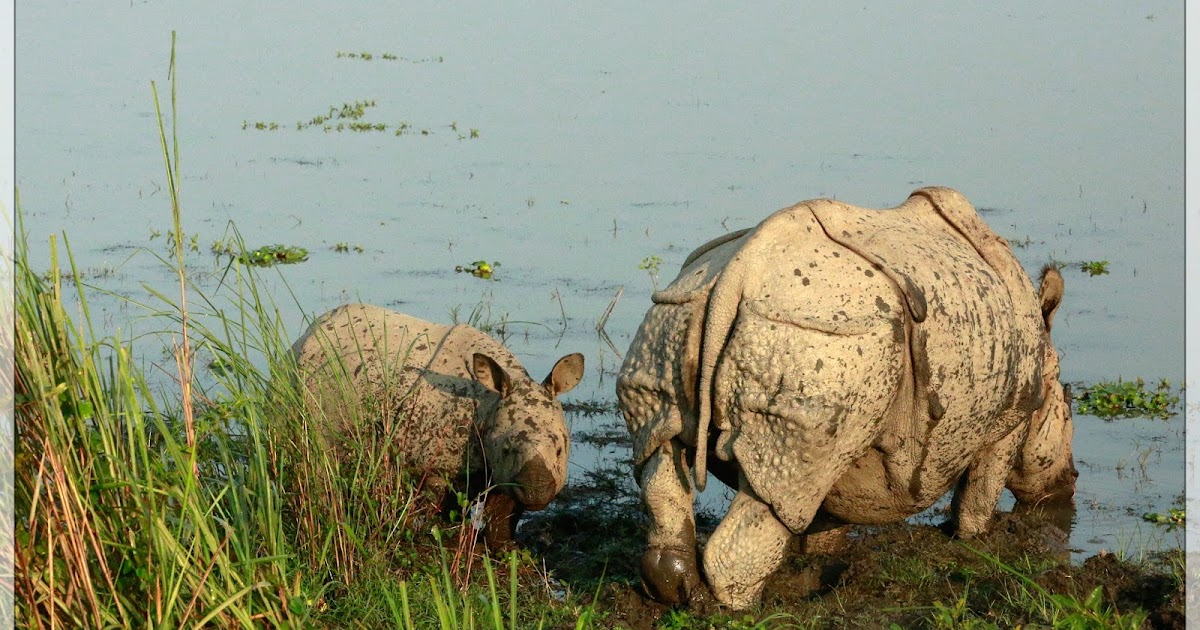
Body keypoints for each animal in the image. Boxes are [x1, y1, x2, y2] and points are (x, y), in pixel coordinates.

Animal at [292, 303, 584, 548]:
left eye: (560, 450)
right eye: (505, 449)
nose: (536, 491)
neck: (490, 403)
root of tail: (307, 334)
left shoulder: (503, 470)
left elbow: (505, 507)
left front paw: (506, 550)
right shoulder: (438, 462)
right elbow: (444, 506)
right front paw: (447, 542)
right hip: (307, 379)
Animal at [616, 187, 1076, 609]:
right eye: (1069, 409)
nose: (1068, 484)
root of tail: (740, 270)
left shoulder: (852, 417)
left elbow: (829, 503)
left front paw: (823, 558)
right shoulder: (1012, 415)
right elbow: (981, 492)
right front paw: (976, 547)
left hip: (682, 313)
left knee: (663, 451)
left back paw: (682, 595)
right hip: (815, 339)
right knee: (775, 485)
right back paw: (742, 610)